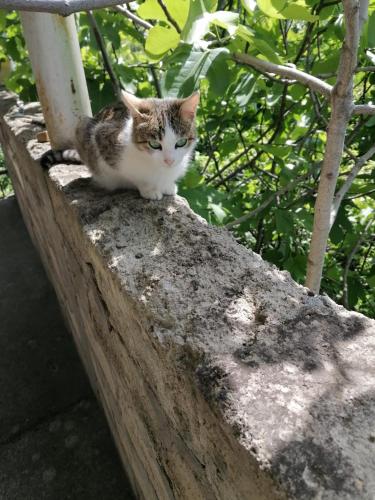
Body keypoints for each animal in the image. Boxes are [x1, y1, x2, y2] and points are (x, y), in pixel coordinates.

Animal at [40, 91, 200, 200]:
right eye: (154, 144)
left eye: (181, 142)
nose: (169, 161)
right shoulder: (103, 138)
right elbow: (131, 175)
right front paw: (149, 189)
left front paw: (168, 185)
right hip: (82, 126)